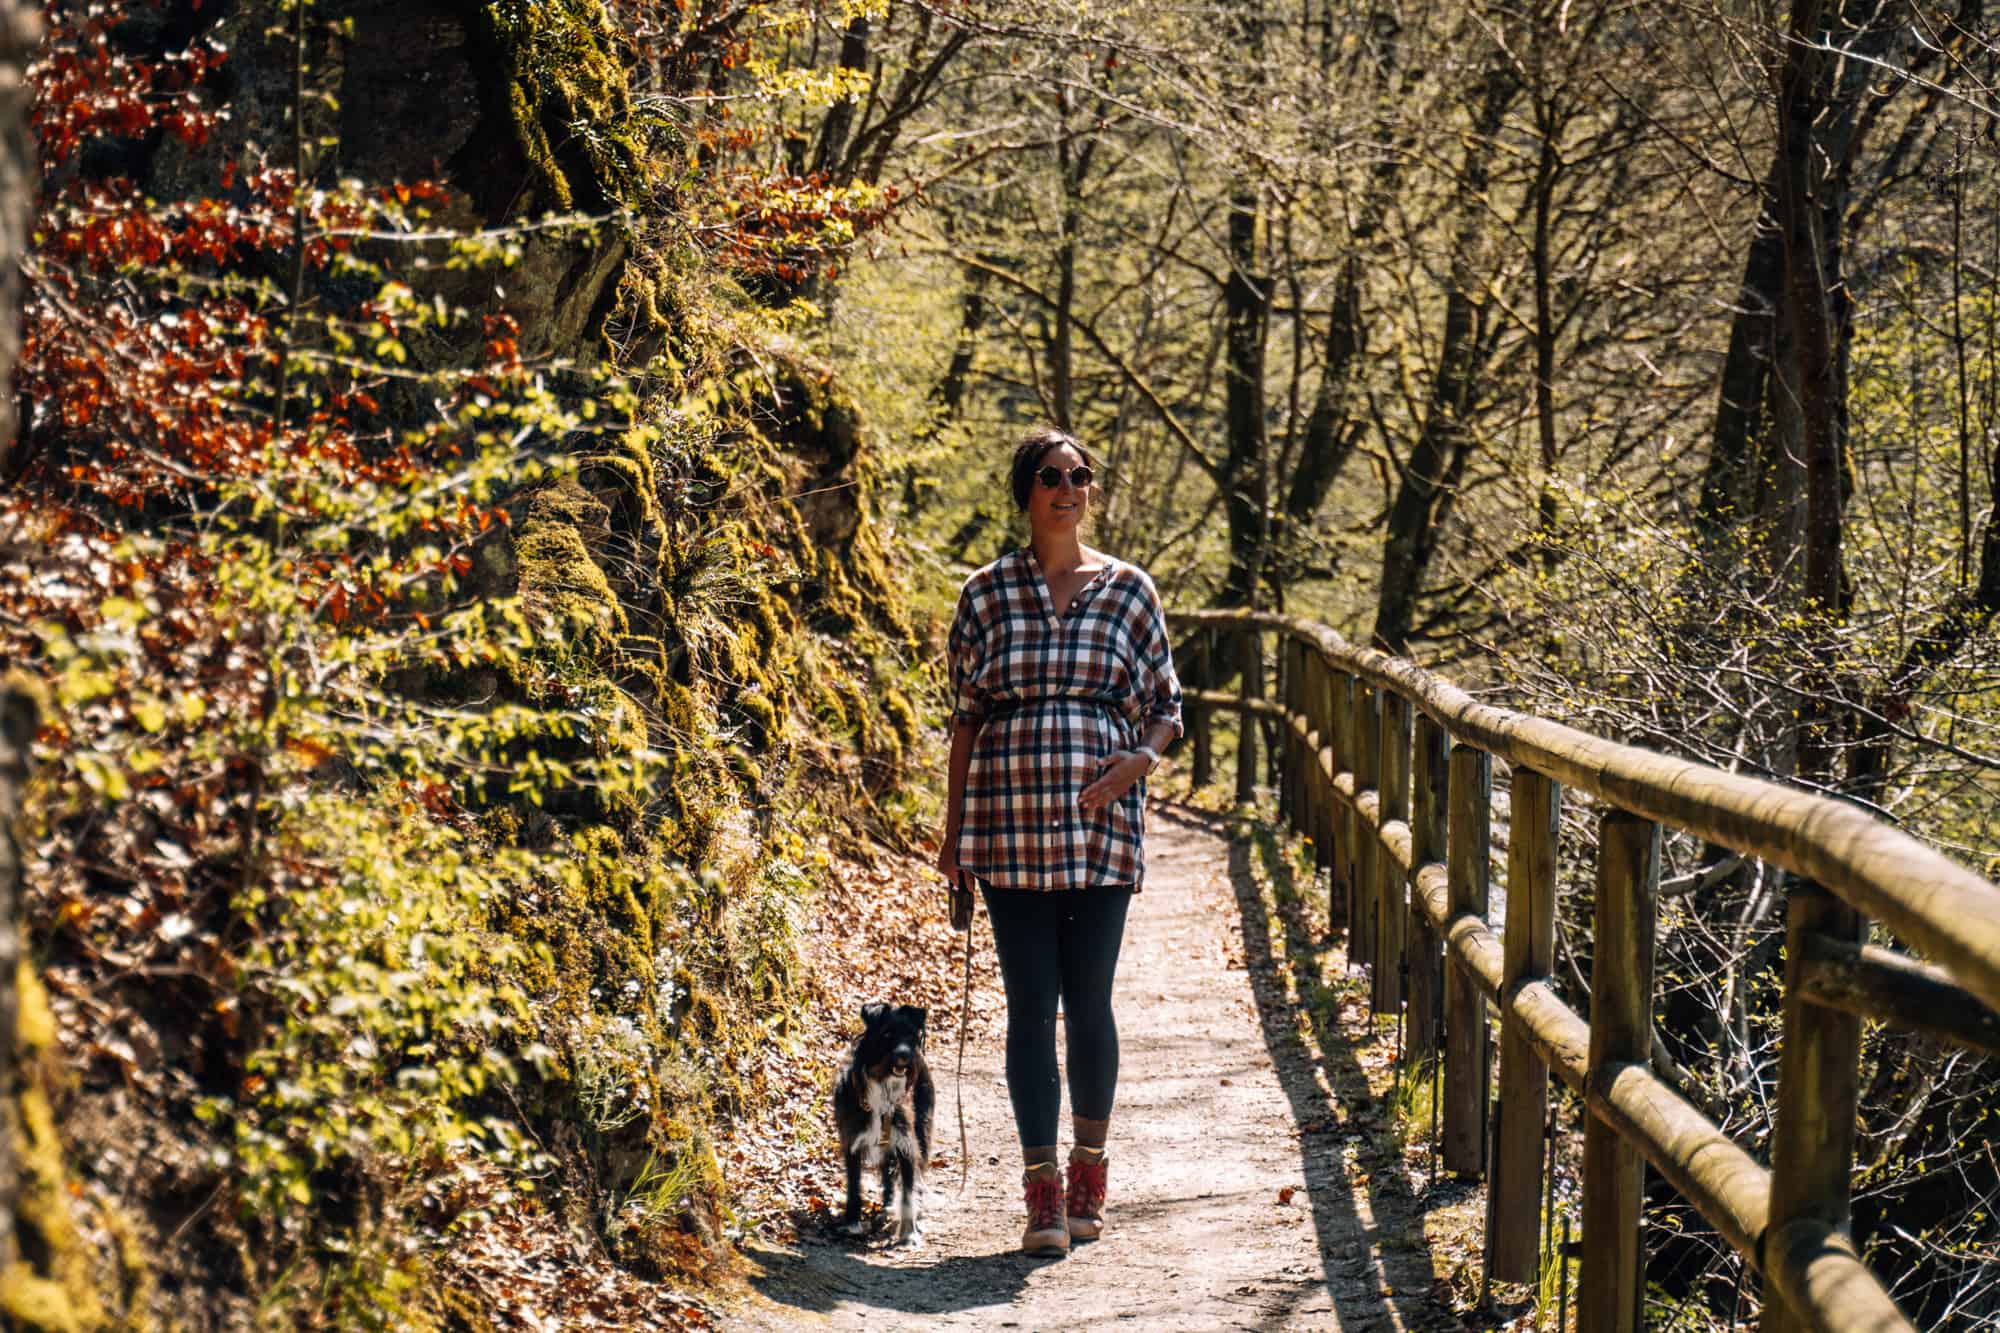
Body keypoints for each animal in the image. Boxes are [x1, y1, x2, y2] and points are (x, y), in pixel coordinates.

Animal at [832, 1000, 932, 1240]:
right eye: (887, 1034)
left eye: (911, 1035)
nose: (905, 1055)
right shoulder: (852, 1142)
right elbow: (853, 1186)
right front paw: (852, 1222)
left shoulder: (907, 1143)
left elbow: (907, 1191)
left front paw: (908, 1233)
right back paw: (886, 1205)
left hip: (921, 1130)